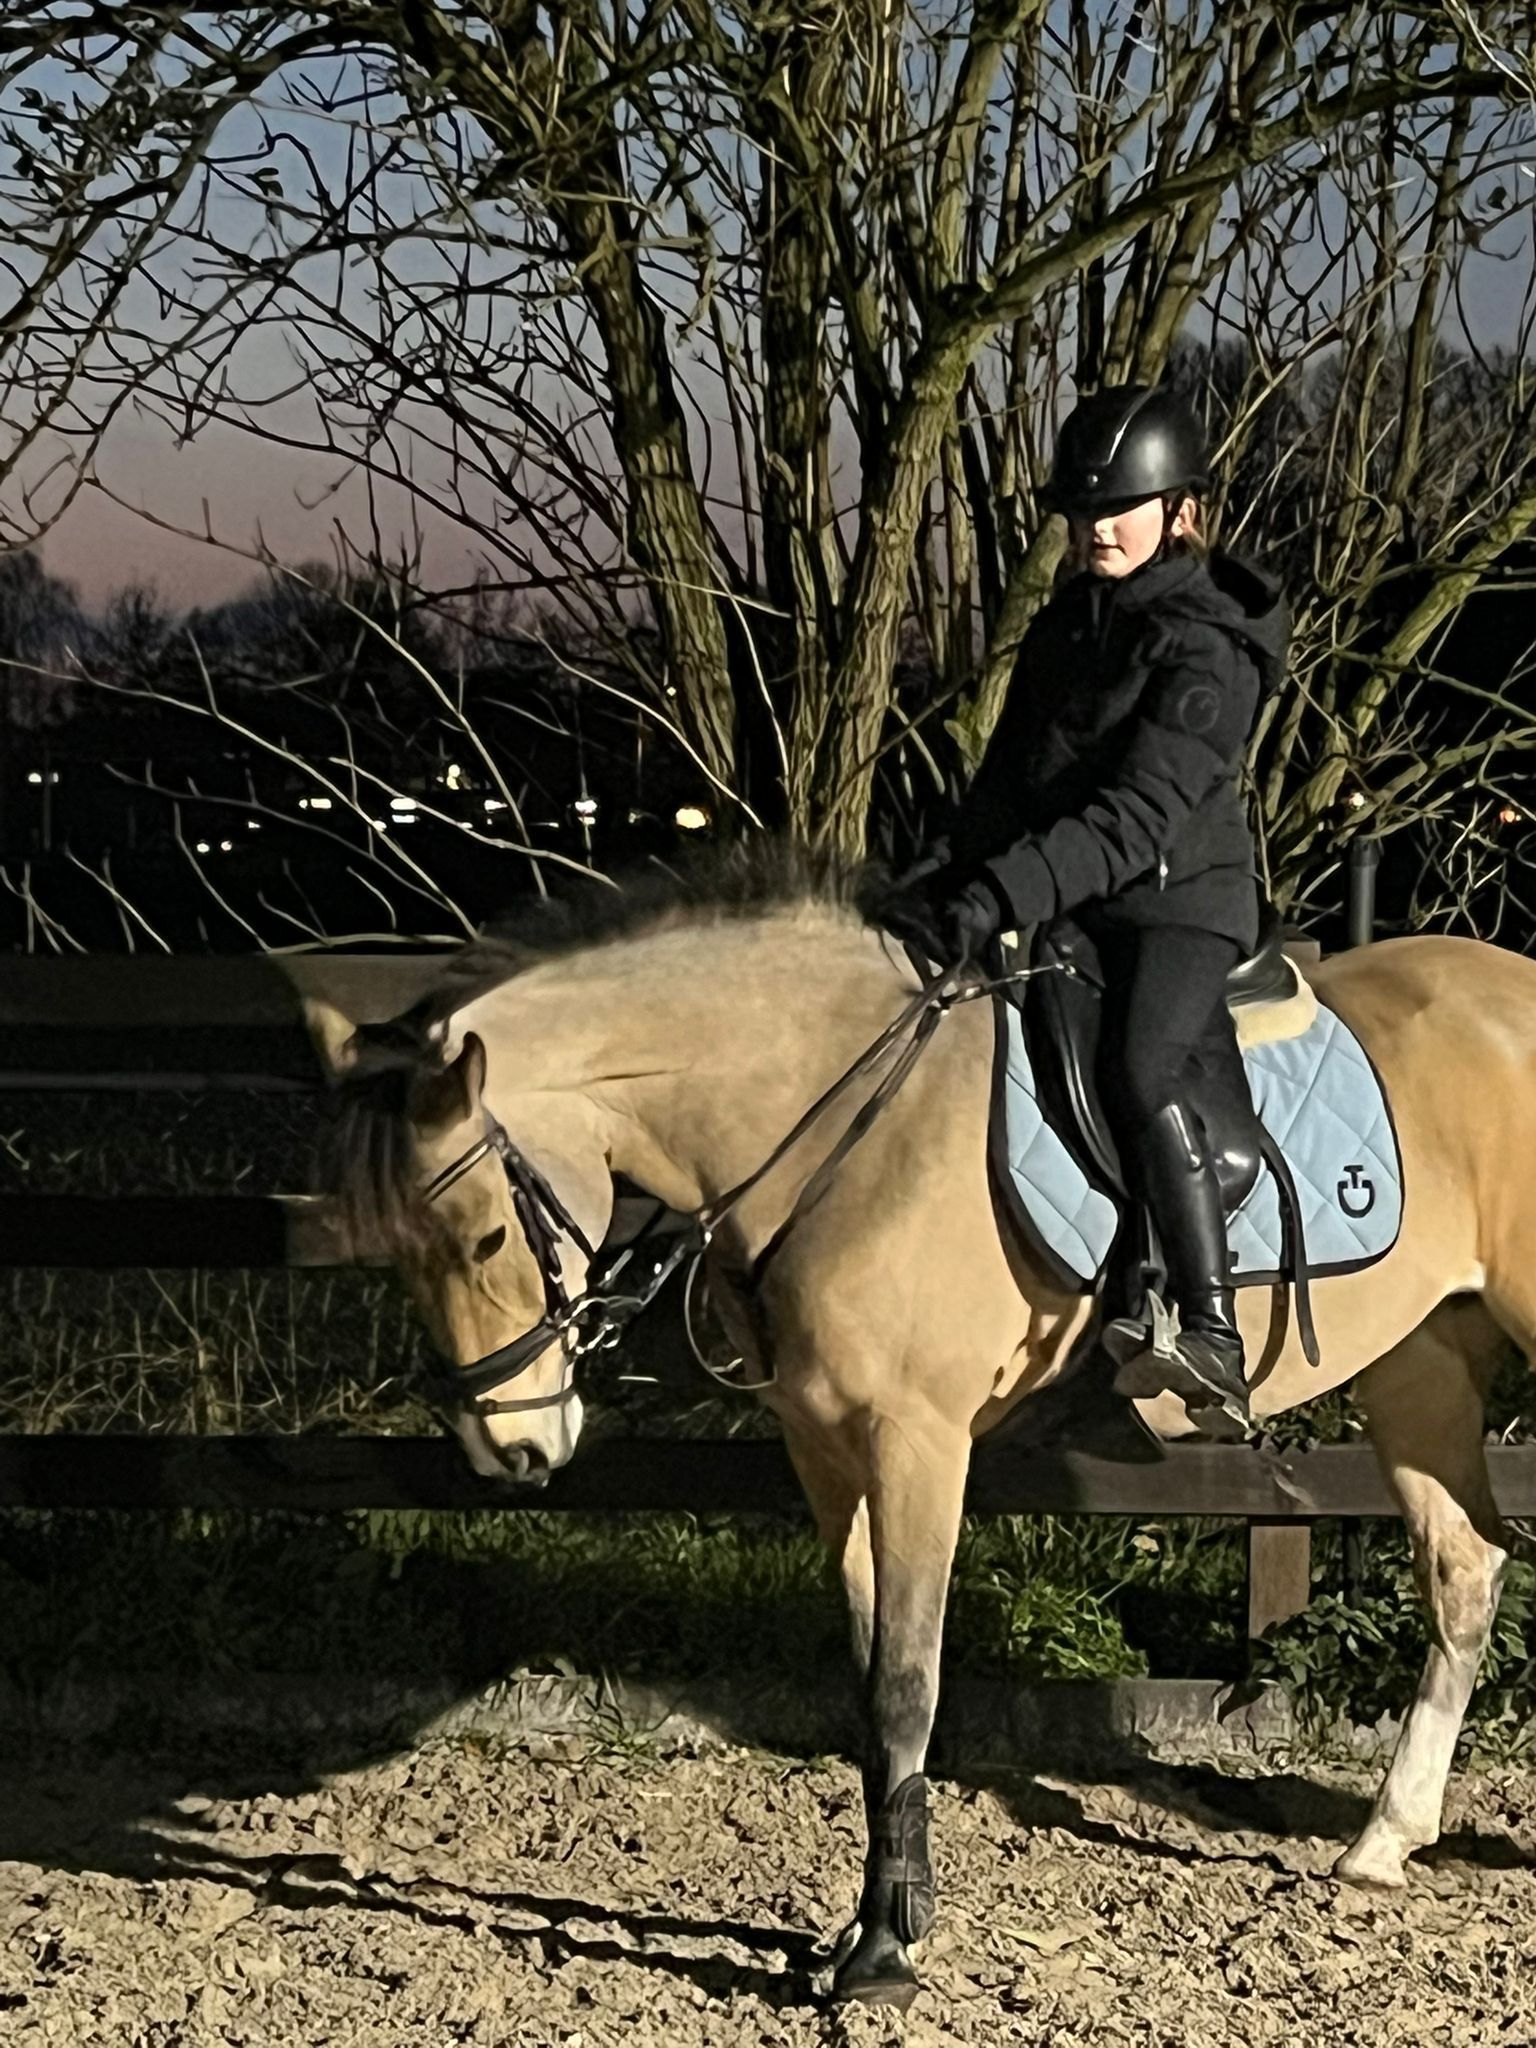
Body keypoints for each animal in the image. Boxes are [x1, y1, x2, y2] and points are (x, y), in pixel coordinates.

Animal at [320, 857, 1530, 2011]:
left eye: (482, 1237)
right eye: (397, 1250)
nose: (508, 1449)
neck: (840, 1123)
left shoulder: (917, 1443)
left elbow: (908, 1681)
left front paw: (886, 1952)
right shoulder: (824, 1450)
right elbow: (867, 1685)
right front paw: (868, 1924)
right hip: (1420, 1363)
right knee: (1466, 1569)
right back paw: (1383, 1841)